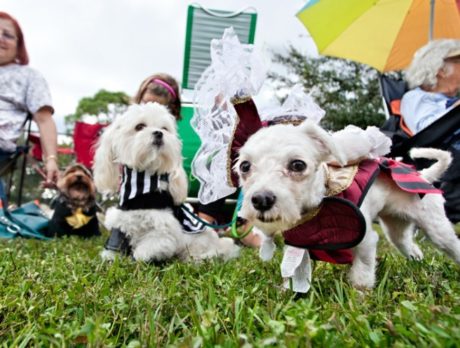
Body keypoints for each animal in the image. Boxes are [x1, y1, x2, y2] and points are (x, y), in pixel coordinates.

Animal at [92, 104, 239, 262]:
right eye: (139, 126)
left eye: (164, 128)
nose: (158, 133)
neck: (142, 183)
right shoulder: (122, 220)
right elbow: (115, 243)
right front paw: (111, 256)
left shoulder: (163, 229)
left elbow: (148, 248)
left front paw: (138, 258)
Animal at [235, 119, 458, 288]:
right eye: (244, 166)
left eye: (298, 165)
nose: (261, 199)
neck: (320, 199)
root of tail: (424, 175)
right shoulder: (298, 247)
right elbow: (295, 277)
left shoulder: (366, 242)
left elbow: (362, 277)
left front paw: (360, 303)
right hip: (396, 230)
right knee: (411, 247)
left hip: (437, 228)